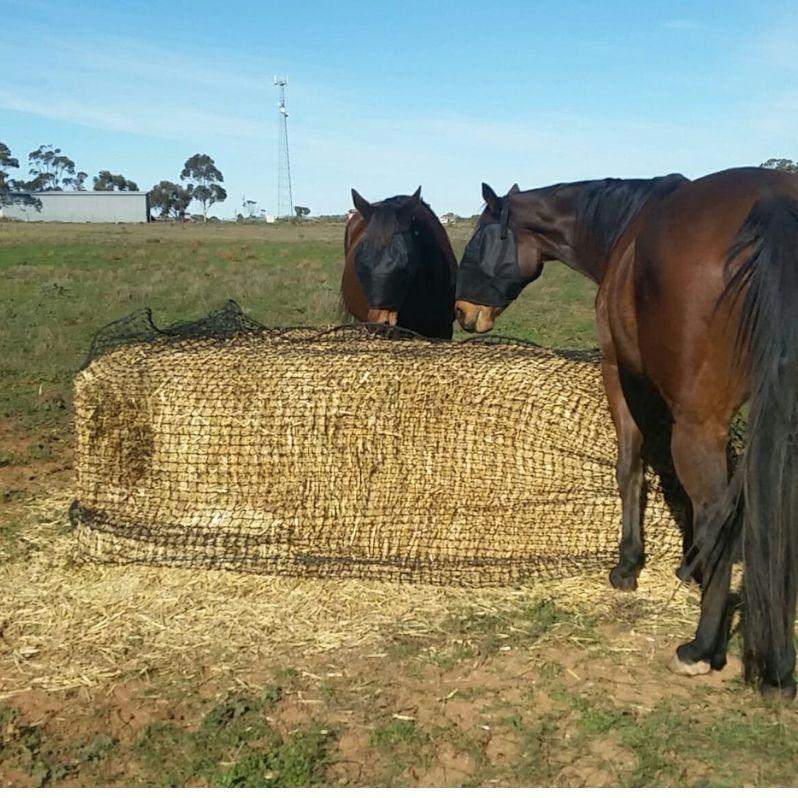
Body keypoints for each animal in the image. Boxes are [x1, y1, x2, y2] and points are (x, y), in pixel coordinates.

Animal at [460, 167, 798, 700]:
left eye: (477, 243)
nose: (462, 312)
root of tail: (771, 201)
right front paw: (689, 563)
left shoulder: (621, 376)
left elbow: (632, 470)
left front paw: (628, 564)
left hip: (698, 423)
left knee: (716, 508)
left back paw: (702, 648)